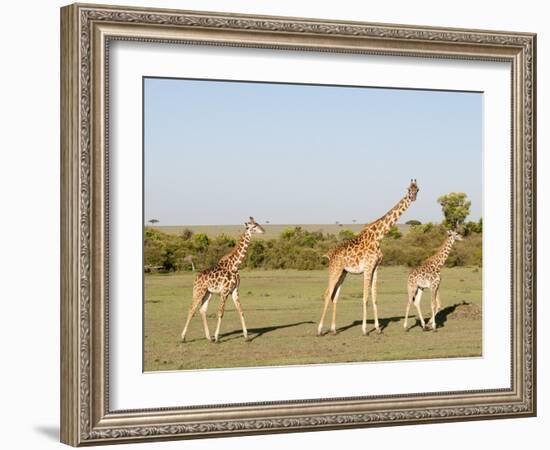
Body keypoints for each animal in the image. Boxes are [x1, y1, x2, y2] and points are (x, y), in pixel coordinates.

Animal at [316, 181, 420, 336]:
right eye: (408, 189)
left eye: (417, 189)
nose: (413, 197)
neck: (379, 236)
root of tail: (329, 254)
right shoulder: (367, 267)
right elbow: (365, 298)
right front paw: (365, 329)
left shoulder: (376, 268)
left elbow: (374, 297)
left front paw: (377, 328)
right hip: (335, 269)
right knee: (327, 294)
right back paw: (319, 329)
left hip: (343, 273)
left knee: (335, 296)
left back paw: (334, 329)